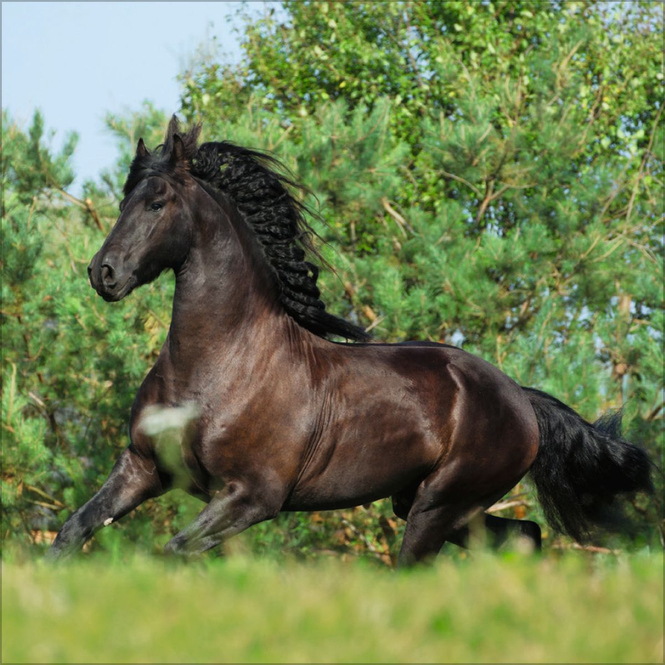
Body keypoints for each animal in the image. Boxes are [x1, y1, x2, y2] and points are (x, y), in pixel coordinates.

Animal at [47, 117, 653, 565]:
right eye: (123, 200)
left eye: (157, 202)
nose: (102, 273)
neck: (218, 367)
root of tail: (520, 398)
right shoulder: (142, 469)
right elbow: (71, 533)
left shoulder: (253, 496)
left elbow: (173, 550)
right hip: (426, 503)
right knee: (525, 536)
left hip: (438, 507)